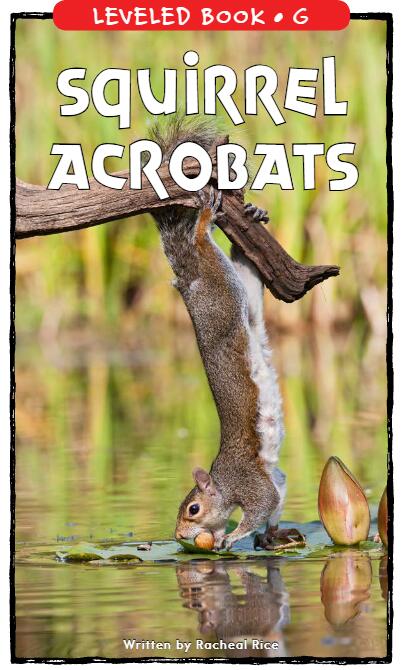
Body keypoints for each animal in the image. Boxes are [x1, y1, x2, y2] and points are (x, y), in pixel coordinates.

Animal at [151, 118, 287, 550]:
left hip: (220, 294)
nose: (179, 535)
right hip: (244, 295)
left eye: (193, 509)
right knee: (248, 267)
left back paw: (207, 217)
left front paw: (235, 535)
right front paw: (268, 536)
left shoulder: (251, 482)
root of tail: (188, 281)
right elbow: (279, 496)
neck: (223, 484)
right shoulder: (273, 476)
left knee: (200, 243)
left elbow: (263, 504)